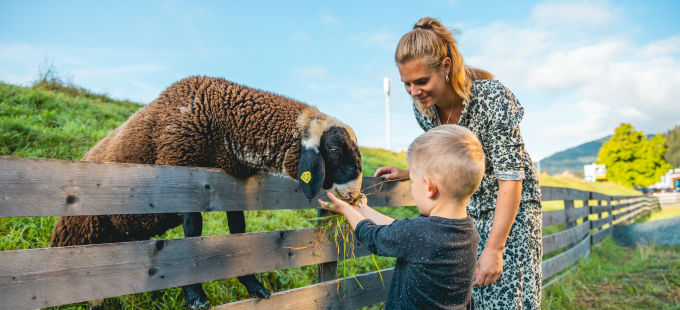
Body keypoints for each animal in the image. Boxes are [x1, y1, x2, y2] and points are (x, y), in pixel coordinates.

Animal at [50, 75, 364, 310]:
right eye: (332, 148)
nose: (353, 197)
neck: (227, 123)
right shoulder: (184, 179)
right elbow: (192, 237)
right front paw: (195, 297)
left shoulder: (230, 186)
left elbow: (238, 231)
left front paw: (253, 285)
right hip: (82, 236)